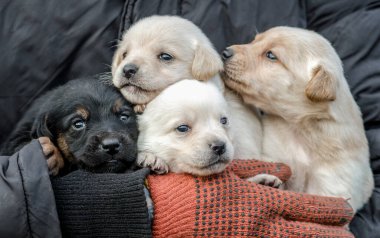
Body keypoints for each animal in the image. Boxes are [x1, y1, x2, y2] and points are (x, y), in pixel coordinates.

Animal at [223, 26, 374, 212]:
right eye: (254, 41)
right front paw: (264, 181)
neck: (300, 127)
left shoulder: (333, 182)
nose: (225, 52)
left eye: (271, 55)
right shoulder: (274, 155)